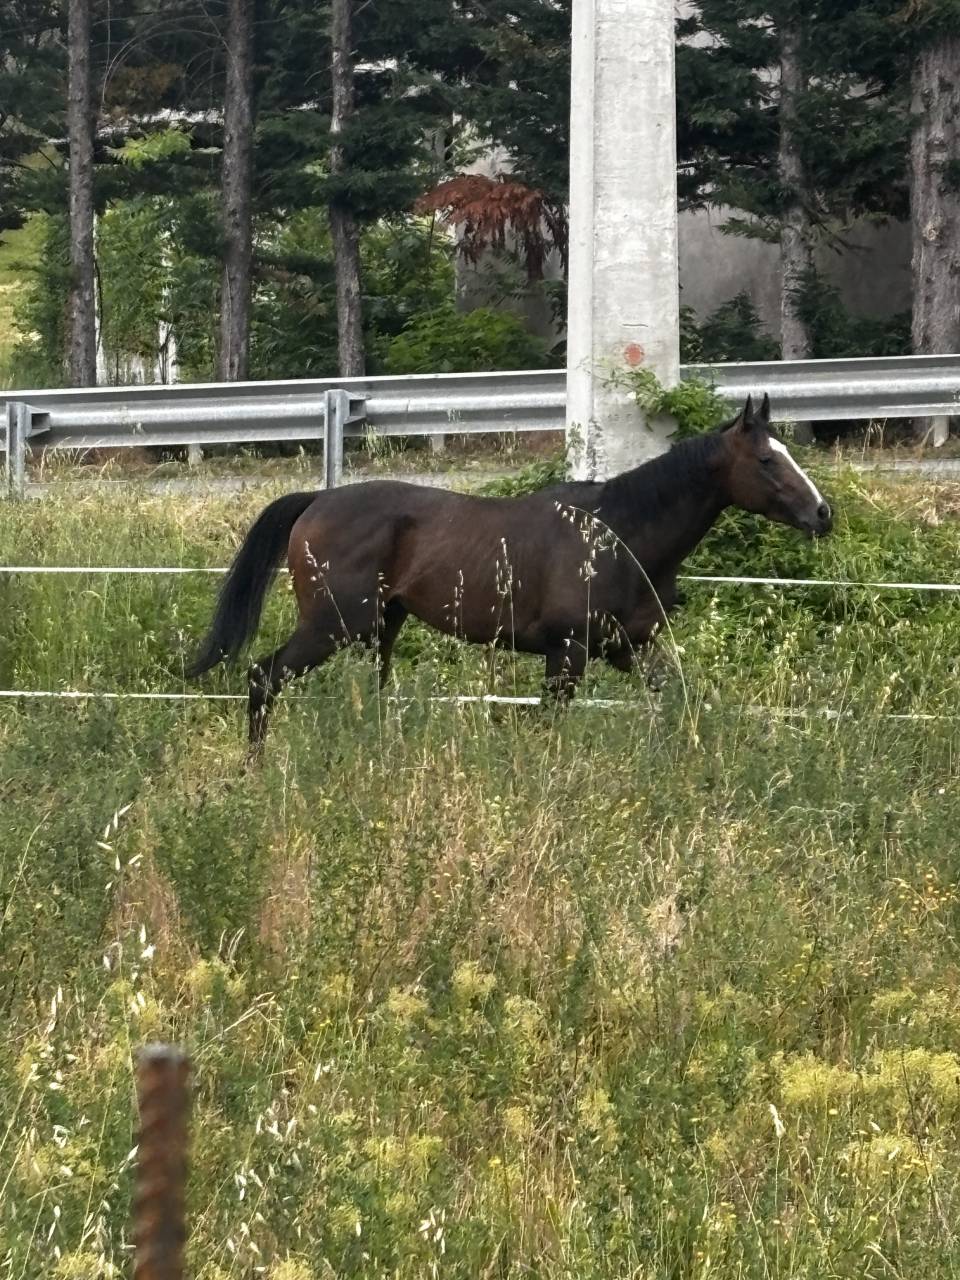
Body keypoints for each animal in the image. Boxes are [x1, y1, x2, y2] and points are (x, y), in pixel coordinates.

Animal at [187, 394, 832, 747]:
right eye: (768, 460)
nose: (822, 513)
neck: (619, 535)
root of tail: (316, 502)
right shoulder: (567, 653)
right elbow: (553, 726)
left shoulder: (630, 647)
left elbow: (676, 700)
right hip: (332, 627)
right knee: (263, 678)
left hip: (380, 628)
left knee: (372, 696)